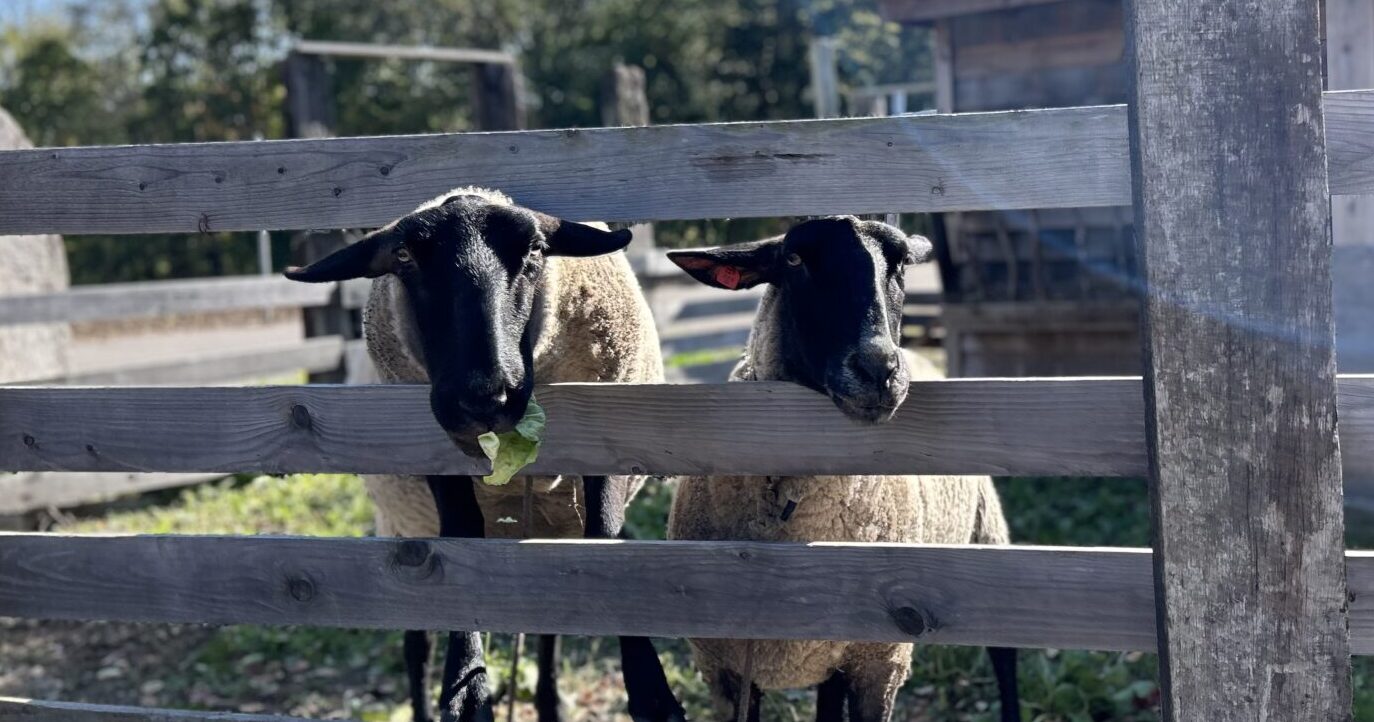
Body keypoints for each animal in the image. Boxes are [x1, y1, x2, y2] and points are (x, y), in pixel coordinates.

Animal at [665, 217, 1022, 720]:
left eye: (901, 264)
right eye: (794, 259)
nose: (880, 370)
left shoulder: (880, 662)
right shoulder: (726, 669)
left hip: (986, 532)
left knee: (1004, 655)